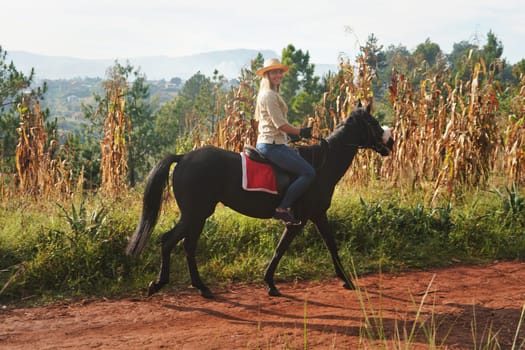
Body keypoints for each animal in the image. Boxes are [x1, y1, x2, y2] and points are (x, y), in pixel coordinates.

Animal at [125, 104, 390, 298]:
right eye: (374, 123)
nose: (391, 143)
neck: (323, 164)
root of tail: (183, 157)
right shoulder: (304, 219)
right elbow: (288, 248)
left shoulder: (314, 216)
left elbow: (323, 245)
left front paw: (344, 280)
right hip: (195, 214)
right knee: (170, 241)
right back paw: (160, 284)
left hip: (197, 215)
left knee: (186, 246)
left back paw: (201, 288)